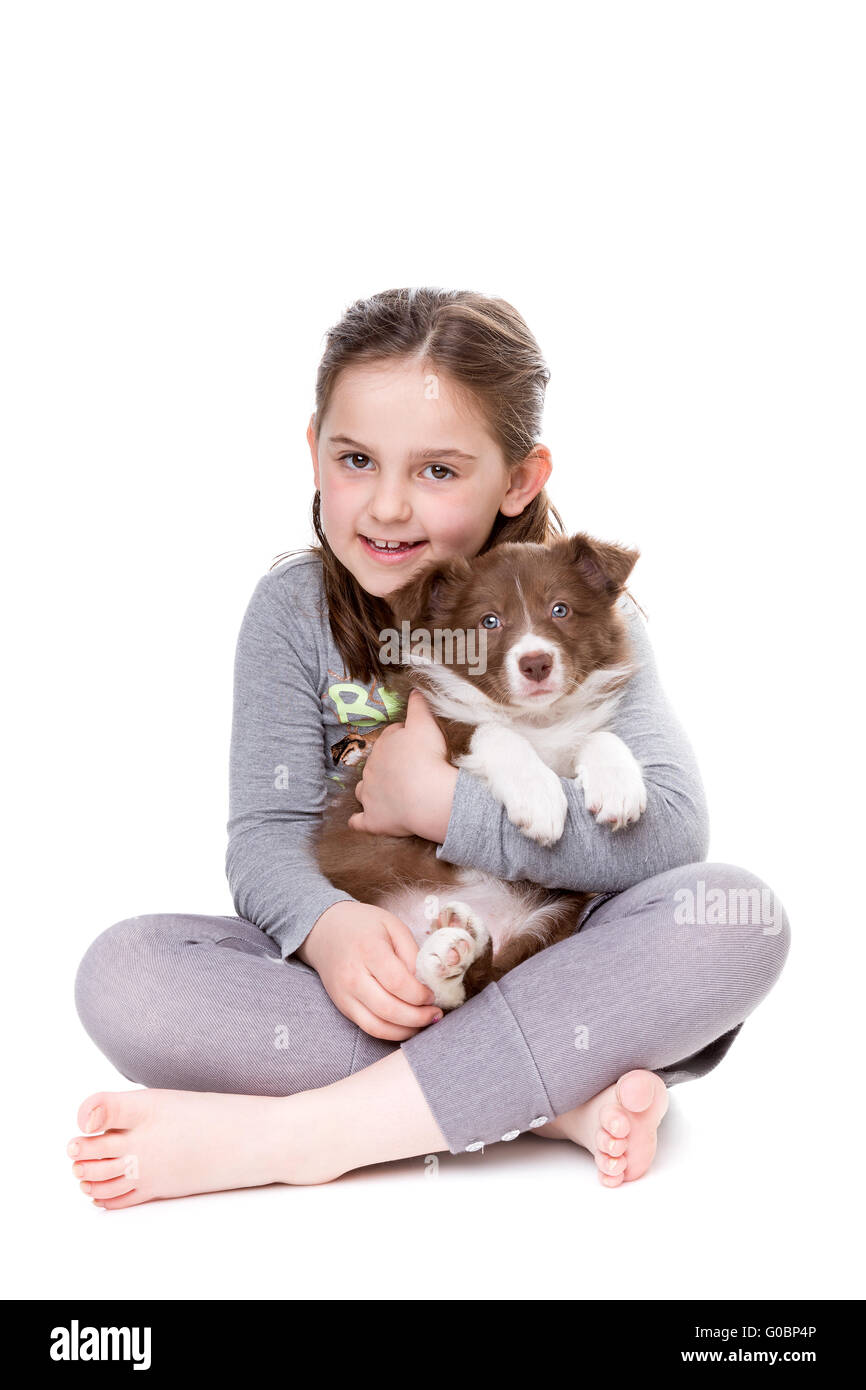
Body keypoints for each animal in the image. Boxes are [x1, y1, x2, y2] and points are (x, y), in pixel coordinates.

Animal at [315, 530, 647, 1011]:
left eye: (560, 609)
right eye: (489, 621)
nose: (536, 663)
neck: (535, 721)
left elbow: (598, 736)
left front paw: (619, 787)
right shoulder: (441, 725)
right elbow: (491, 731)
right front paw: (539, 800)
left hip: (550, 916)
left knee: (456, 990)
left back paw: (456, 946)